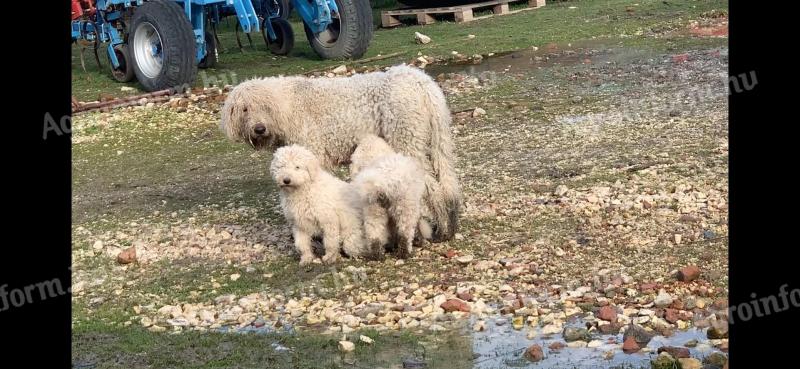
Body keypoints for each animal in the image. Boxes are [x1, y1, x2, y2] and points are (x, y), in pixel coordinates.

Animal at [220, 64, 462, 242]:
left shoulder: (312, 153)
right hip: (436, 141)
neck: (288, 107)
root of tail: (421, 81)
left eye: (266, 107)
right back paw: (449, 222)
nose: (259, 129)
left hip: (407, 140)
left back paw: (441, 227)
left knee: (432, 188)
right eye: (245, 109)